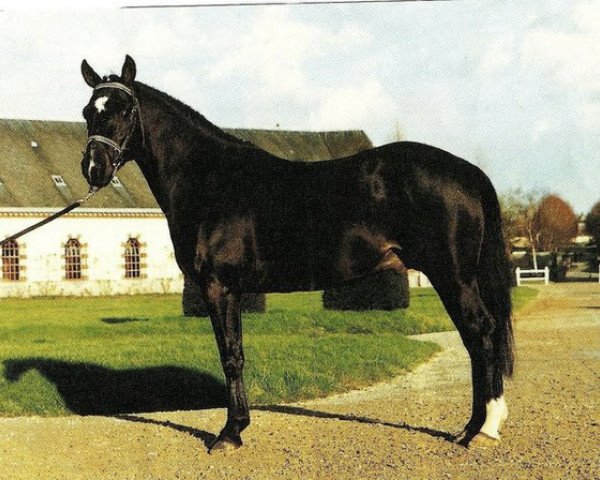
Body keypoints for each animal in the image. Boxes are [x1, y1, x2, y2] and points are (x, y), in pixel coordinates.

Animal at [79, 56, 512, 454]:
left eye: (123, 109)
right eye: (88, 111)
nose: (94, 168)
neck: (210, 180)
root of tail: (469, 172)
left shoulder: (217, 287)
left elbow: (229, 356)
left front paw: (228, 434)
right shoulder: (233, 291)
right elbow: (236, 353)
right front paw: (238, 427)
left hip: (452, 274)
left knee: (480, 332)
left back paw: (481, 429)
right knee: (479, 337)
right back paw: (478, 426)